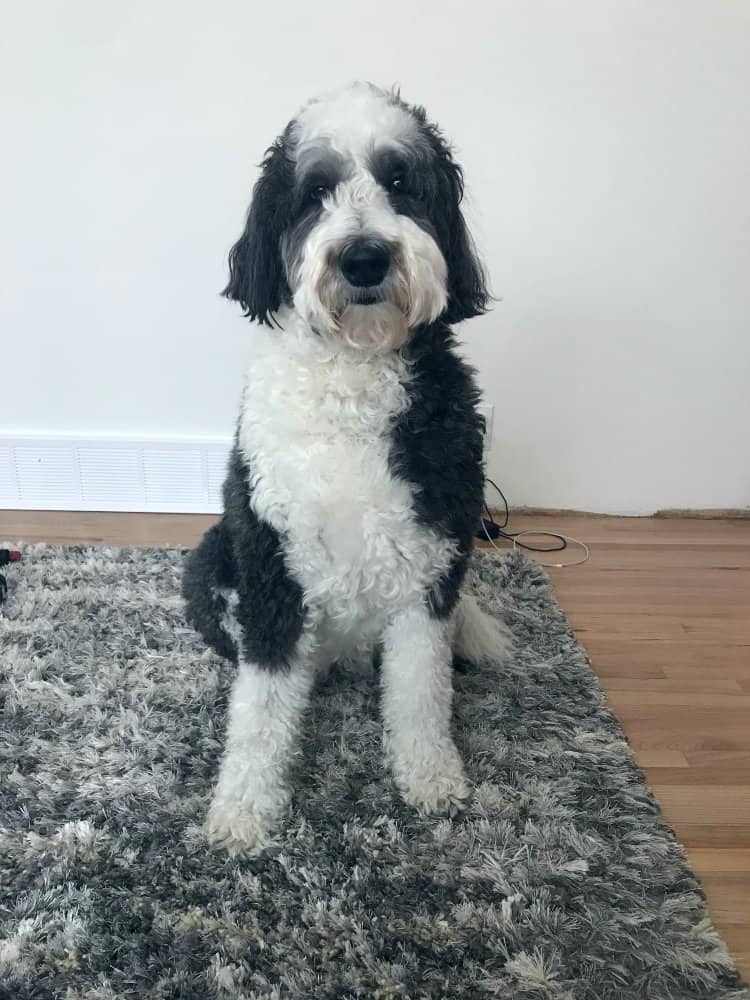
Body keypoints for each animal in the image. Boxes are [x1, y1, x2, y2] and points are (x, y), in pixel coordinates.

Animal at [184, 84, 508, 852]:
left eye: (401, 182)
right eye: (314, 191)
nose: (364, 259)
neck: (352, 375)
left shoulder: (430, 560)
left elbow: (421, 692)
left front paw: (430, 778)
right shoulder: (269, 560)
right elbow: (260, 710)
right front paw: (243, 809)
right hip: (214, 560)